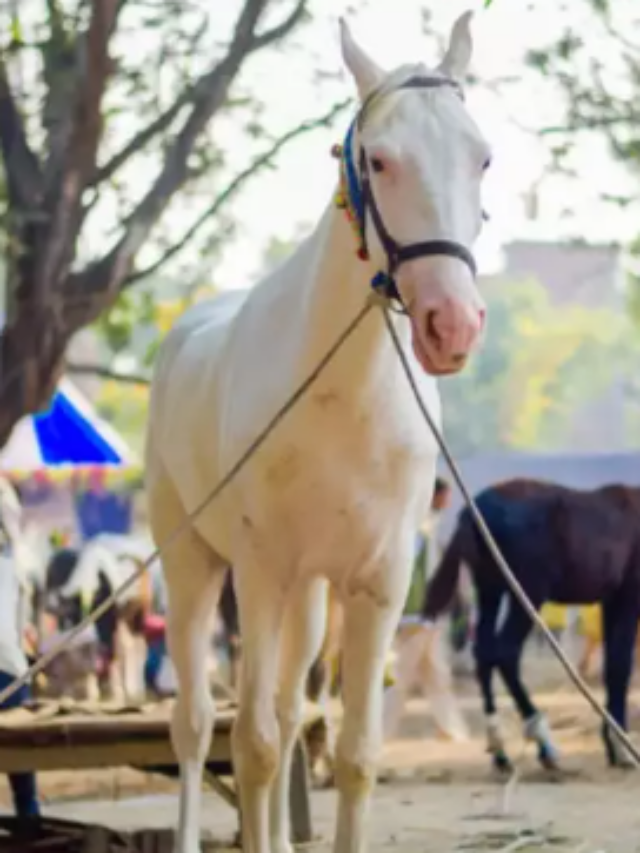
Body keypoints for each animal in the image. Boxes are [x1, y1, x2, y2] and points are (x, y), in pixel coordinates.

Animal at [422, 480, 640, 772]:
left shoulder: (610, 600)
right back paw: (543, 744)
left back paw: (500, 750)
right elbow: (620, 666)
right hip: (527, 591)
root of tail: (473, 511)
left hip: (491, 588)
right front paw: (621, 747)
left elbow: (612, 667)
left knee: (484, 654)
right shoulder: (628, 594)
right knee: (505, 652)